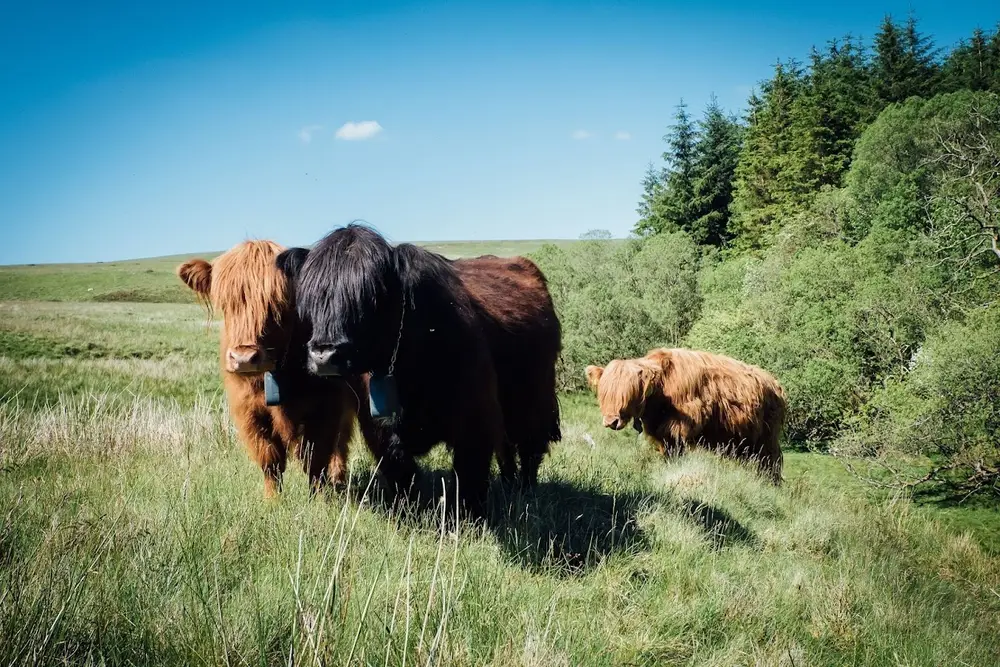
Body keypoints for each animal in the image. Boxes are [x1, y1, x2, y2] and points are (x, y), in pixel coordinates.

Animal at [176, 243, 364, 498]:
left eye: (278, 305)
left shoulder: (328, 404)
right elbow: (270, 459)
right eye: (225, 304)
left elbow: (316, 457)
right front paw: (272, 500)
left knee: (340, 442)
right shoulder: (249, 412)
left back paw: (338, 478)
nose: (244, 358)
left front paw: (319, 499)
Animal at [584, 348, 788, 482]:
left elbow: (676, 451)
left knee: (770, 461)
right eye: (604, 393)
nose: (611, 421)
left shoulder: (678, 427)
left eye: (629, 393)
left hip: (766, 439)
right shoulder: (661, 431)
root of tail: (775, 384)